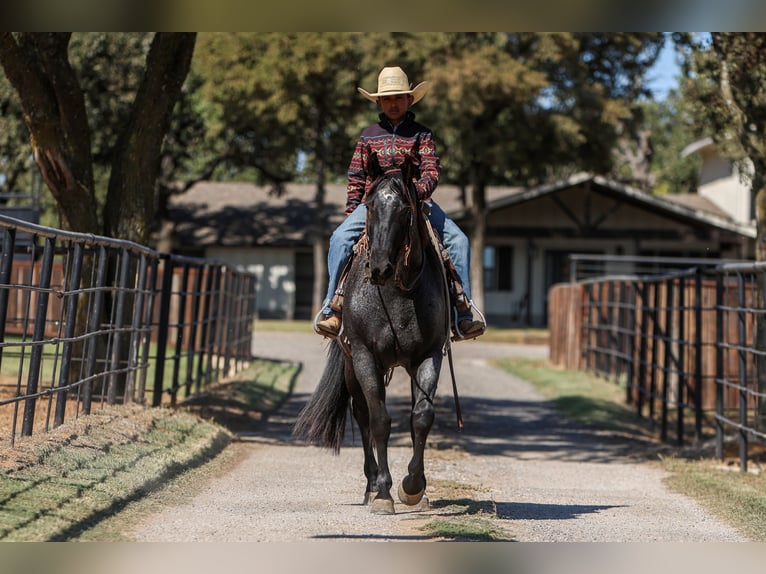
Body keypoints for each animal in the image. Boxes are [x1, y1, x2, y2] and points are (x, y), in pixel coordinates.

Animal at [292, 151, 450, 516]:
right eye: (370, 206)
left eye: (405, 208)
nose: (379, 267)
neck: (397, 293)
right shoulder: (366, 356)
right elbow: (379, 420)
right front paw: (383, 493)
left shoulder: (429, 354)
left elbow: (421, 416)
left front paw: (413, 487)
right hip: (353, 367)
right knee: (362, 416)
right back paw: (370, 486)